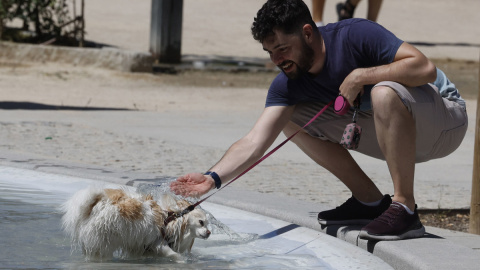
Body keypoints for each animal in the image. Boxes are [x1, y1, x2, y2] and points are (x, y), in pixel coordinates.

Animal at [60, 186, 210, 260]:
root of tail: (94, 206)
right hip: (103, 242)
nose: (209, 232)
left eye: (208, 224)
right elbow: (174, 255)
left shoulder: (142, 248)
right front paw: (182, 262)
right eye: (201, 222)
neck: (173, 220)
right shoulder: (158, 244)